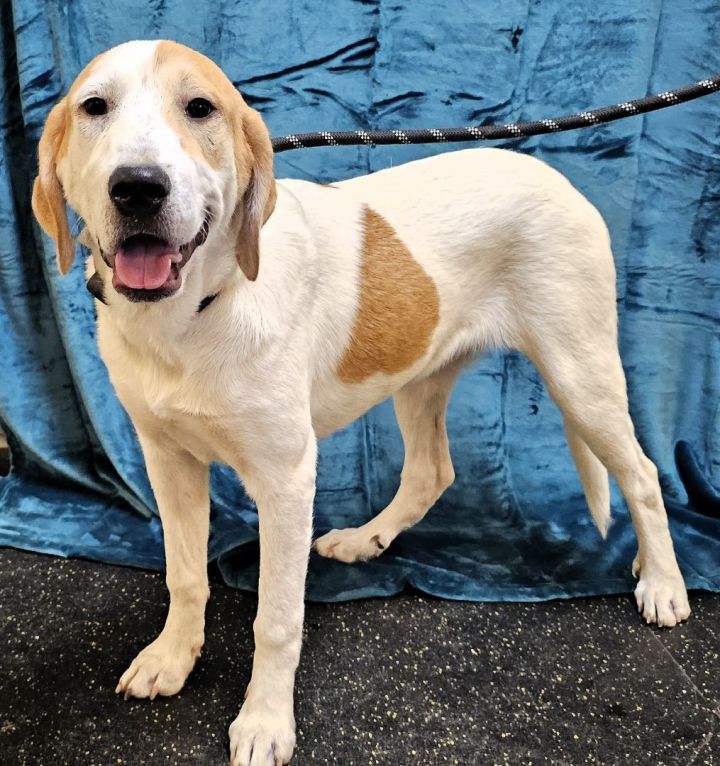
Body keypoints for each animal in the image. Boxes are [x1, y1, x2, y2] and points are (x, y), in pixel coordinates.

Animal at [33, 42, 692, 766]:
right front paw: (172, 658)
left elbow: (277, 620)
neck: (191, 317)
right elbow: (184, 576)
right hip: (420, 372)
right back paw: (367, 538)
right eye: (95, 106)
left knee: (643, 475)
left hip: (581, 373)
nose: (138, 187)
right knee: (434, 471)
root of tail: (555, 176)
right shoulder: (167, 459)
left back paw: (663, 582)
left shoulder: (287, 480)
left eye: (200, 107)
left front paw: (265, 722)